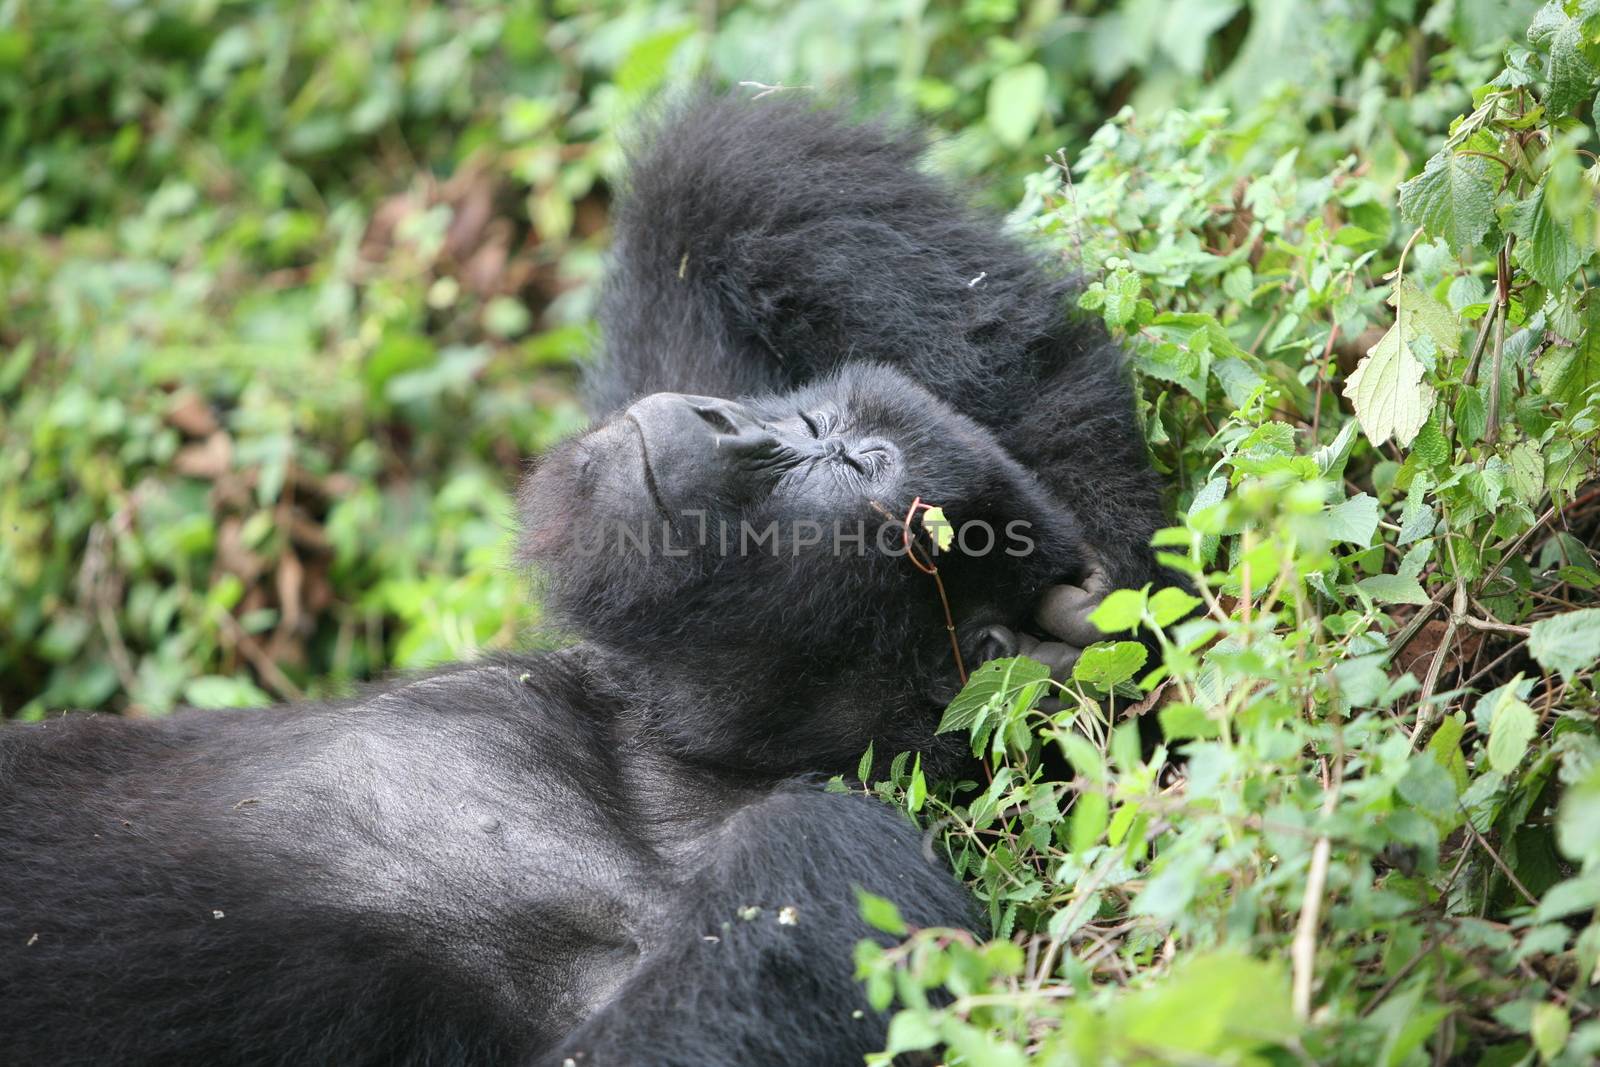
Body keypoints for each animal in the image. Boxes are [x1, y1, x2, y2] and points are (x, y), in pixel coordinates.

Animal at [0, 95, 1164, 1062]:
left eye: (849, 463)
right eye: (806, 415)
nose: (722, 419)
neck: (667, 761)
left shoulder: (825, 859)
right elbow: (711, 195)